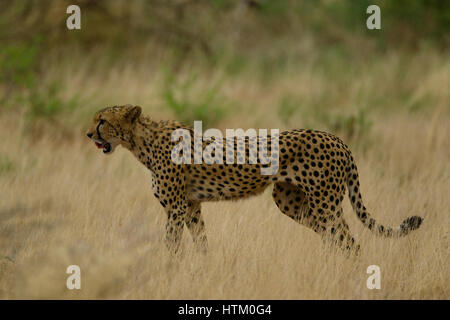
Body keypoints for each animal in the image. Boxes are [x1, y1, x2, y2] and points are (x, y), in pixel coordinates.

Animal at [86, 105, 424, 255]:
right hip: (291, 202)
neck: (140, 142)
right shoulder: (192, 206)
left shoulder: (176, 208)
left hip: (325, 203)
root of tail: (337, 138)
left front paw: (167, 270)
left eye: (102, 120)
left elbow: (171, 244)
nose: (89, 134)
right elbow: (201, 242)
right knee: (336, 240)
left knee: (349, 242)